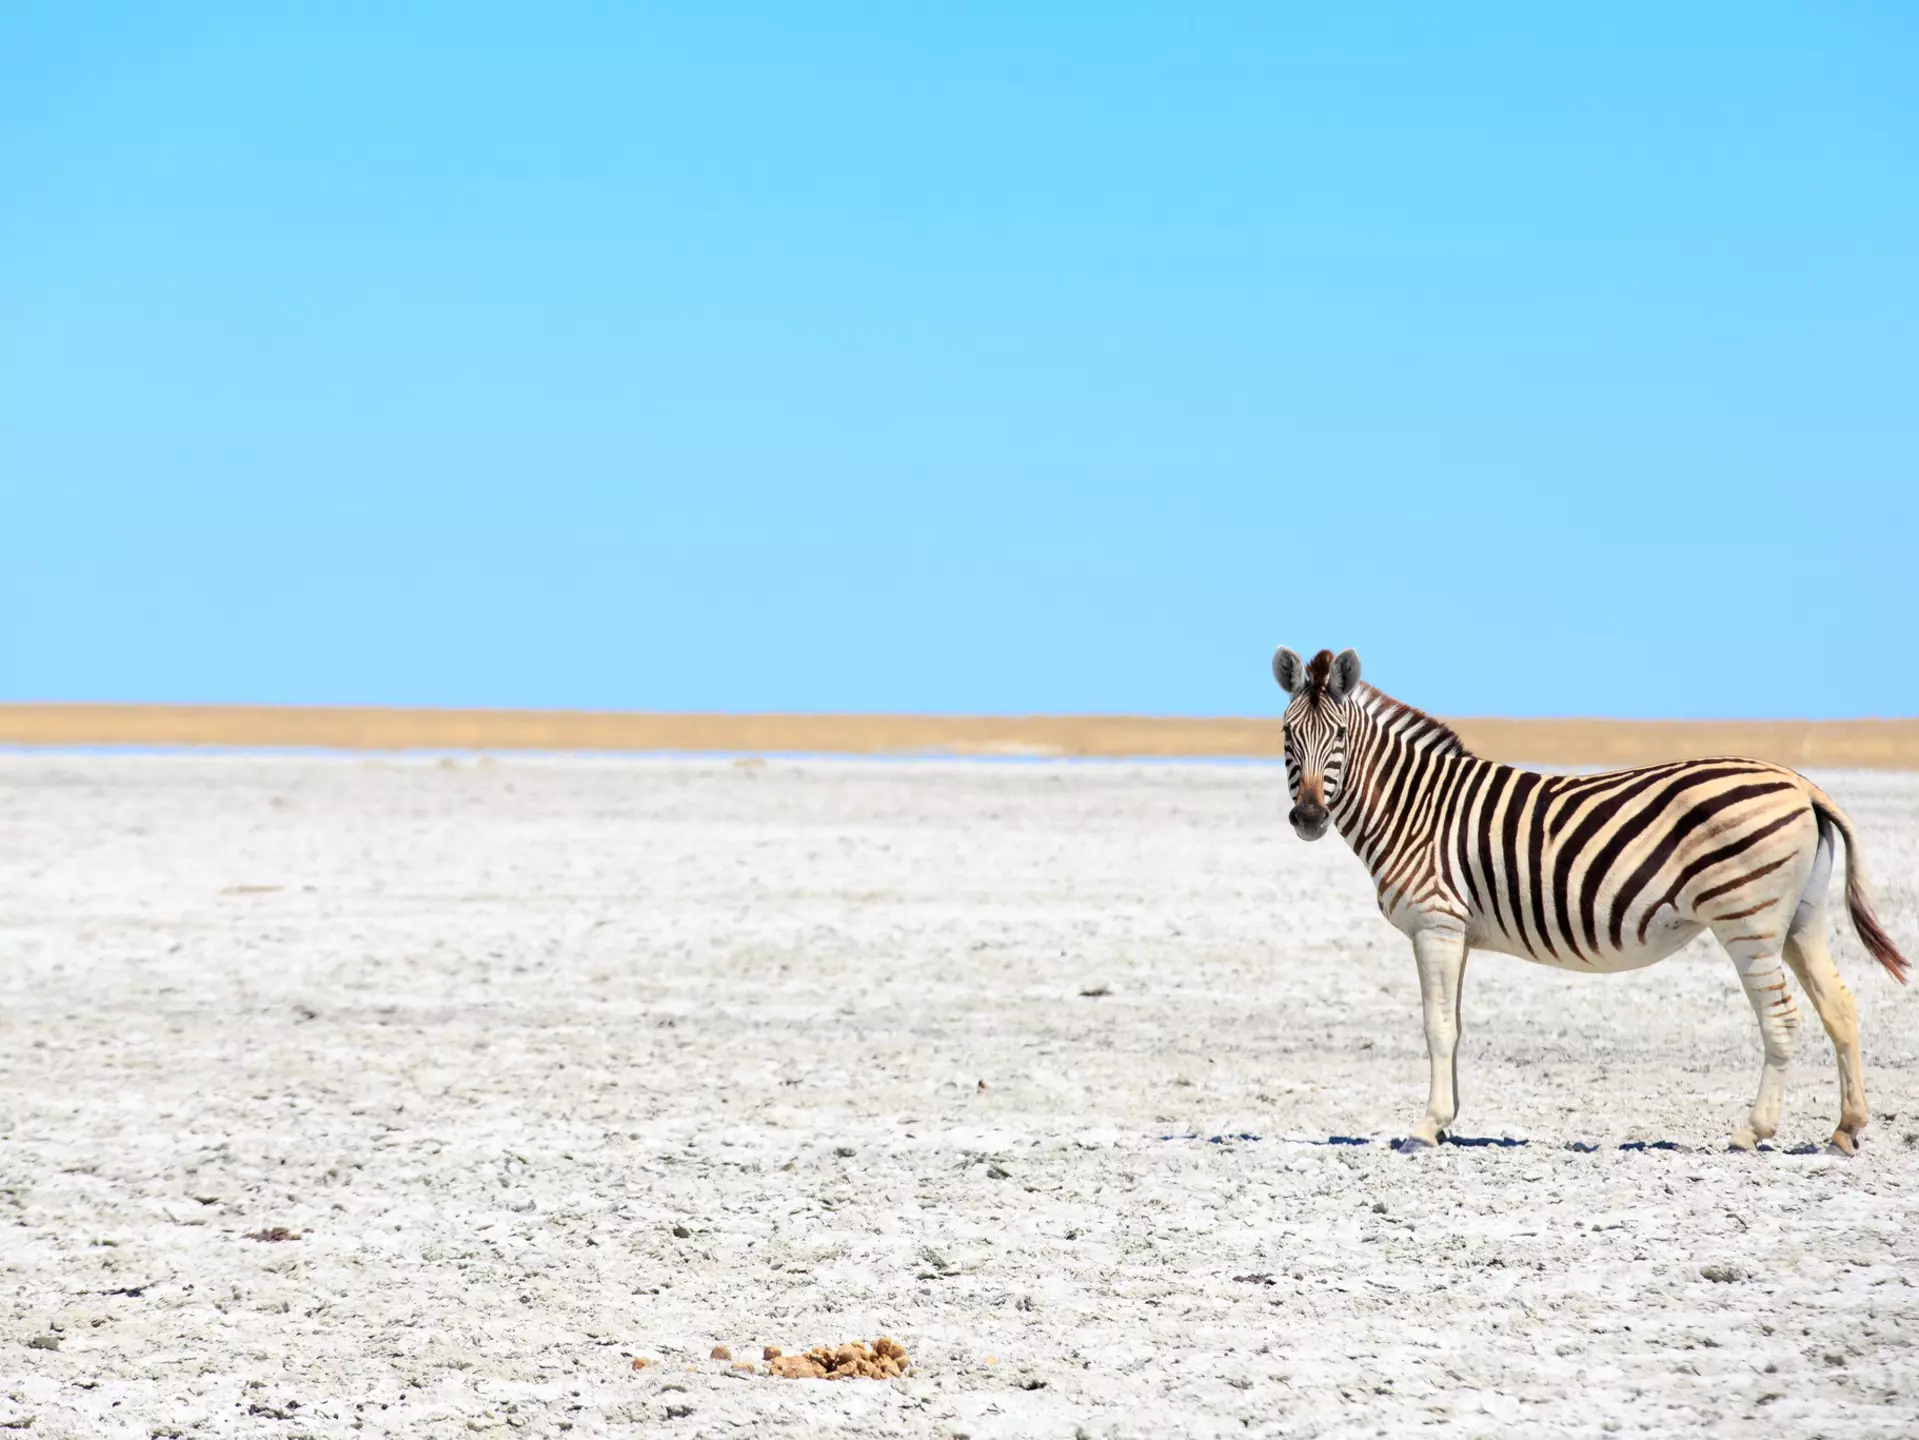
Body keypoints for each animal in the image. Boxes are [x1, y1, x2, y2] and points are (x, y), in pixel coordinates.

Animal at [1272, 645, 1909, 1155]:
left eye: (1339, 739)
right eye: (1287, 737)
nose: (1308, 818)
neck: (1414, 806)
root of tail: (1802, 784)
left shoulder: (1436, 924)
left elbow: (1437, 1027)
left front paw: (1426, 1129)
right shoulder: (1458, 932)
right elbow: (1456, 1025)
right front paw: (1448, 1122)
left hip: (1746, 919)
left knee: (1781, 1017)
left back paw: (1752, 1132)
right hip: (1801, 918)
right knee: (1839, 1007)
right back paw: (1846, 1130)